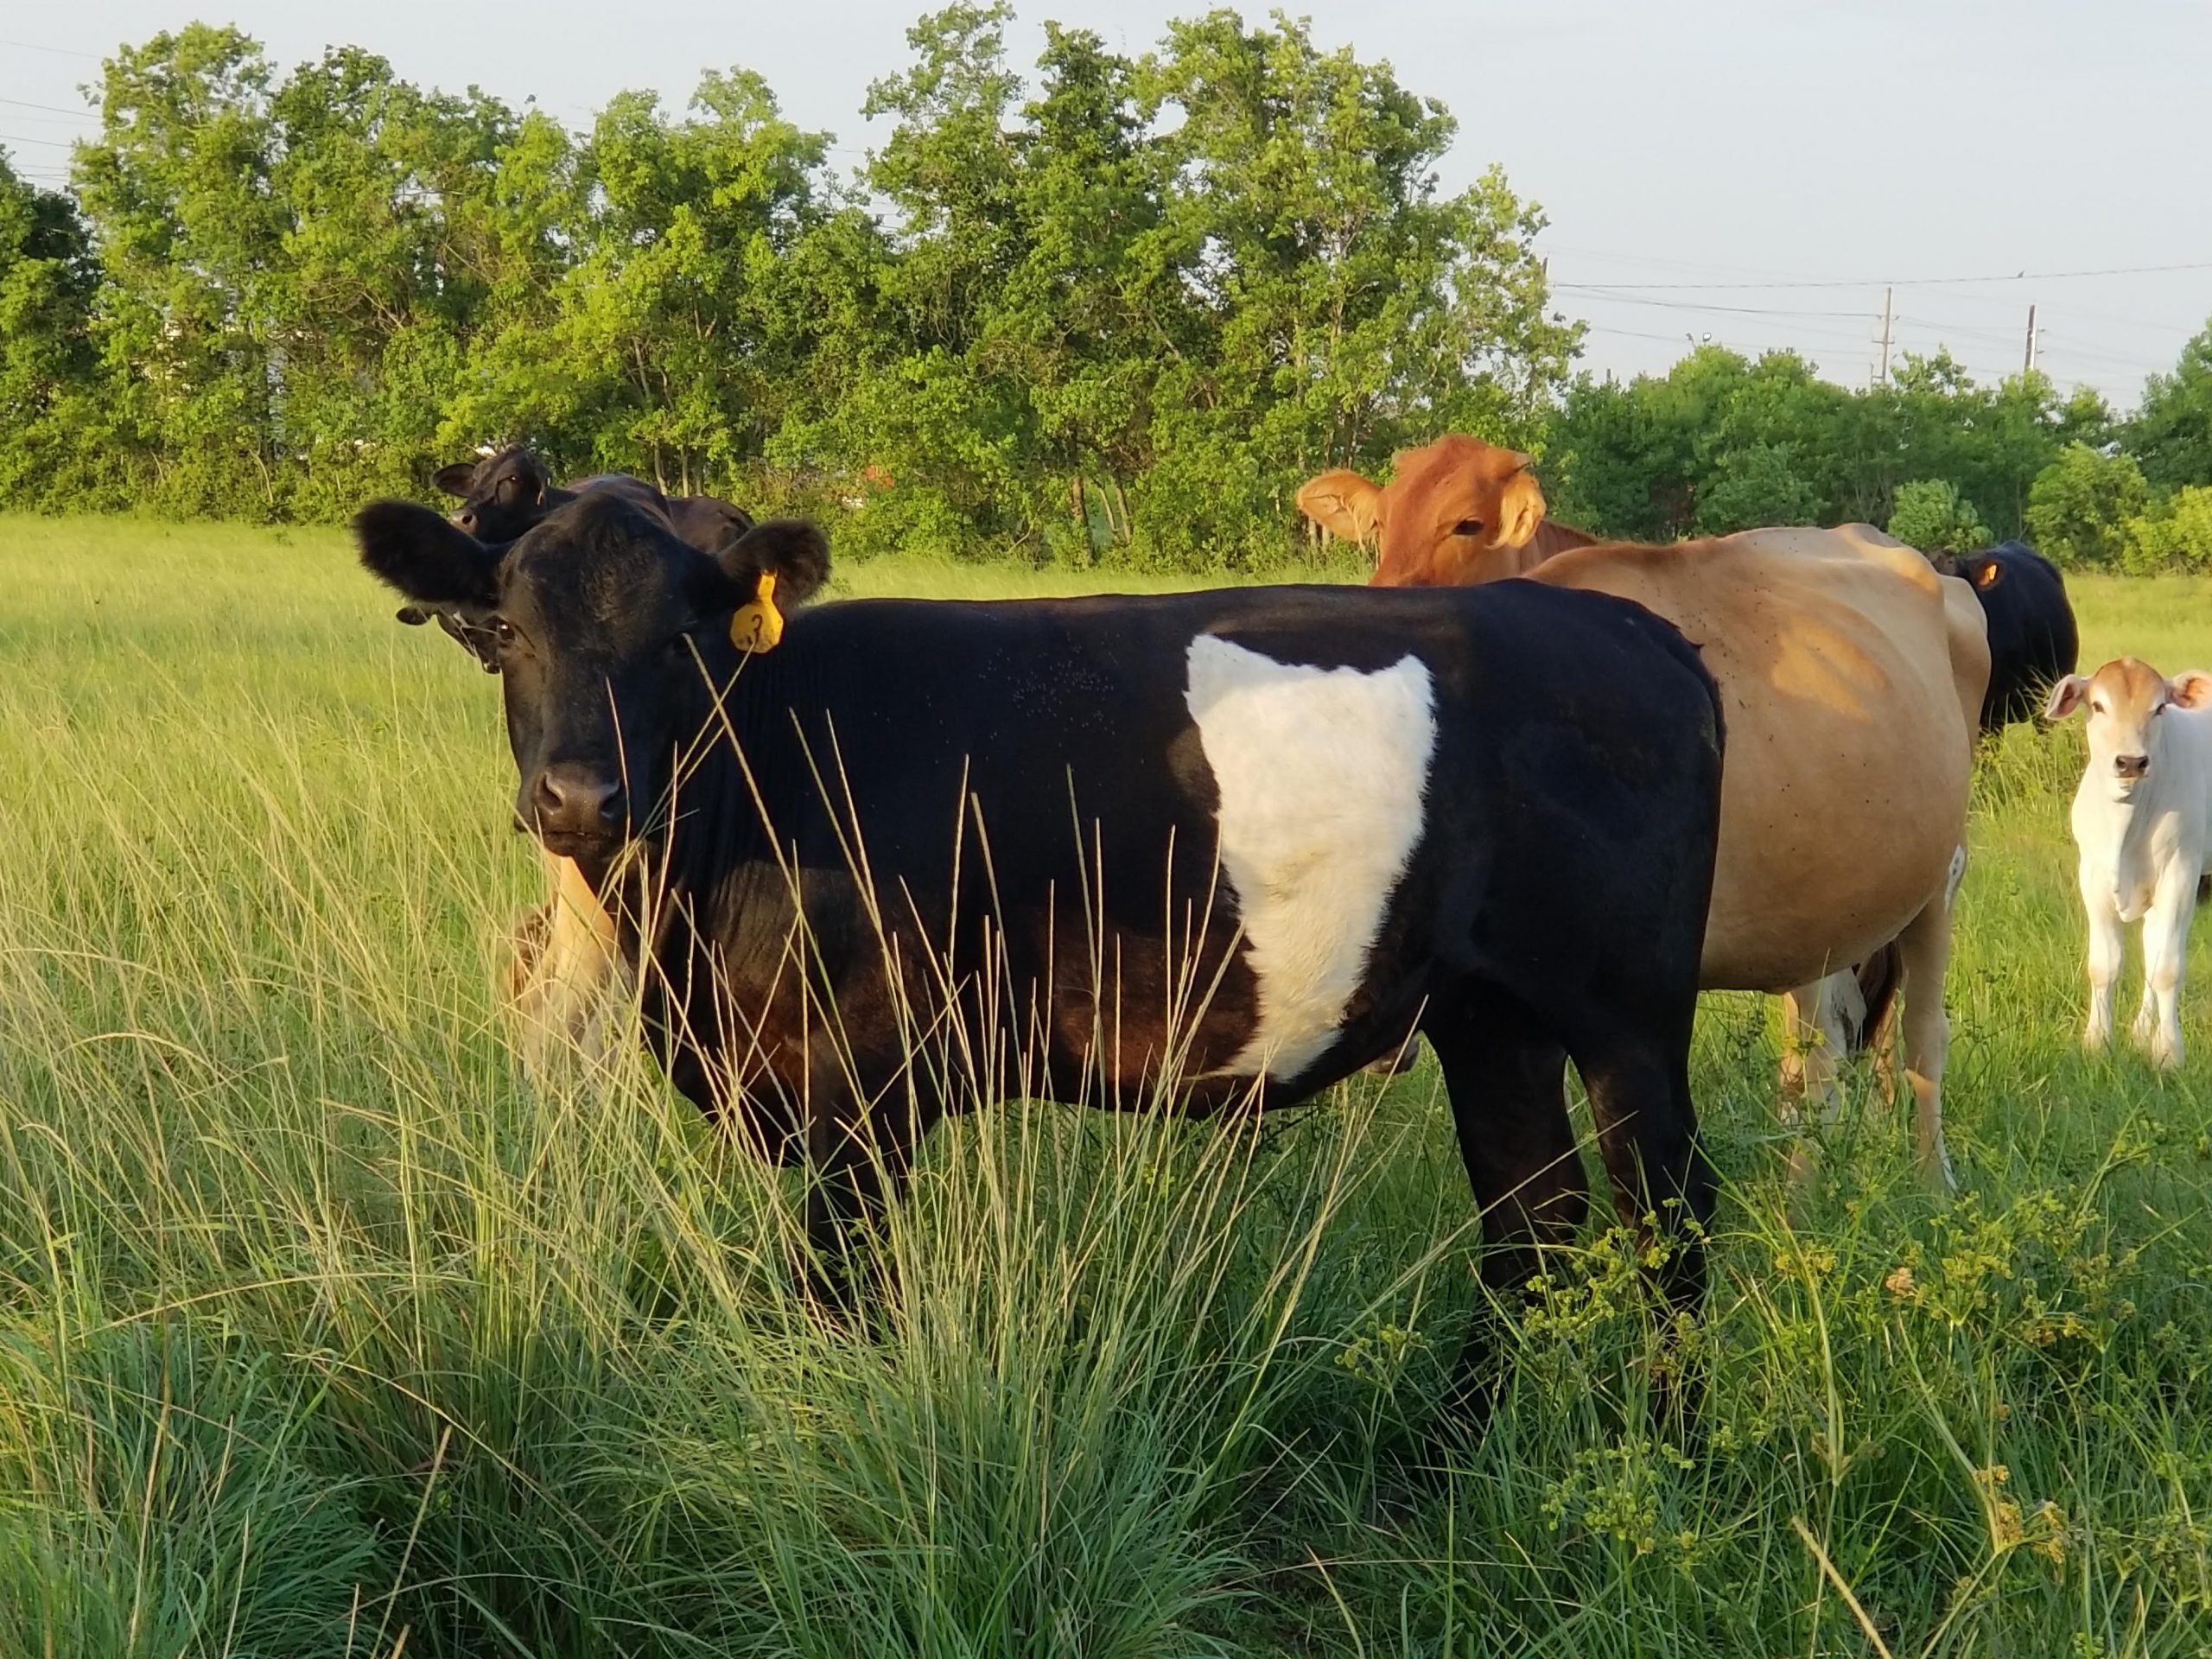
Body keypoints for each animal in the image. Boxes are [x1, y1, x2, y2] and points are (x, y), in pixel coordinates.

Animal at [351, 489, 1729, 1416]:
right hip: (1489, 1014)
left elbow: (838, 1298)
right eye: (506, 633)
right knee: (1532, 1218)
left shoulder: (859, 1096)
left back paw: (1662, 1453)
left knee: (1666, 1224)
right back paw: (1449, 1451)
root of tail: (1627, 628)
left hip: (1629, 1019)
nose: (581, 797)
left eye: (682, 642)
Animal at [1308, 436, 1990, 1186]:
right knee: (1825, 1055)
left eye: (1466, 525)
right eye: (1379, 523)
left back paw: (1928, 1185)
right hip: (1826, 909)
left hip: (1939, 882)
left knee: (1918, 1040)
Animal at [2045, 659, 2212, 1067]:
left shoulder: (2179, 875)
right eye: (2099, 705)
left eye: (2160, 707)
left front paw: (2168, 1052)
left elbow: (2167, 968)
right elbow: (2104, 965)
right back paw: (2139, 1032)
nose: (2131, 761)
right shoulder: (2092, 878)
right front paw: (2098, 1041)